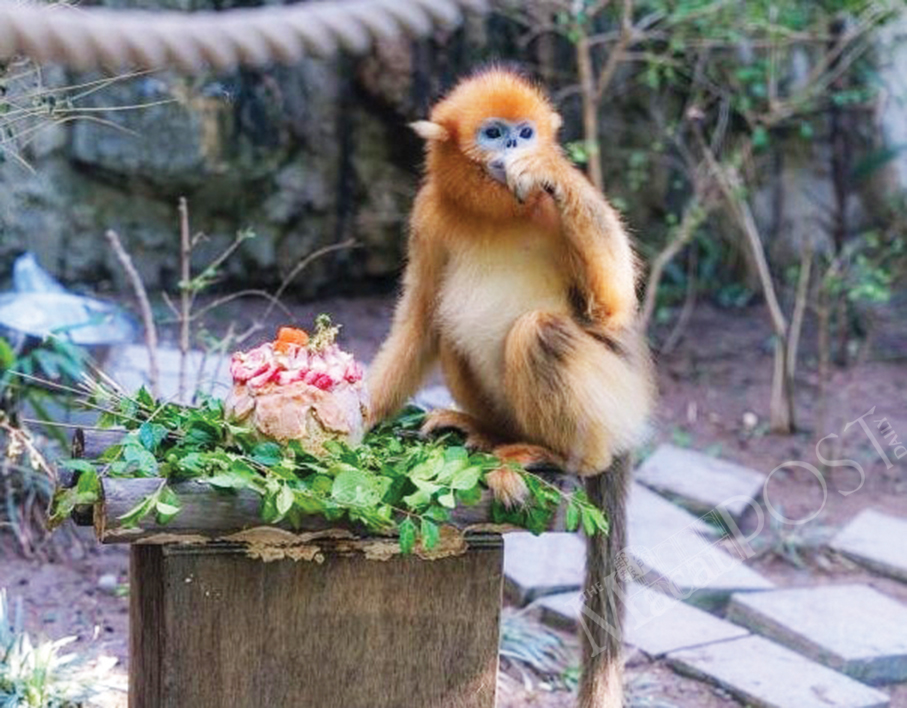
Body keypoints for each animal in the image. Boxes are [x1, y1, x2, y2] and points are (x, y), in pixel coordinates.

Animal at [367, 67, 654, 707]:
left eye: (525, 133)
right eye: (493, 133)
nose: (516, 148)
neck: (497, 215)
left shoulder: (559, 213)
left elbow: (612, 309)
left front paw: (546, 168)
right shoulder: (428, 213)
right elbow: (420, 321)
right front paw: (353, 420)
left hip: (613, 401)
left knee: (539, 331)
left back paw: (549, 455)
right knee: (450, 326)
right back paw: (484, 431)